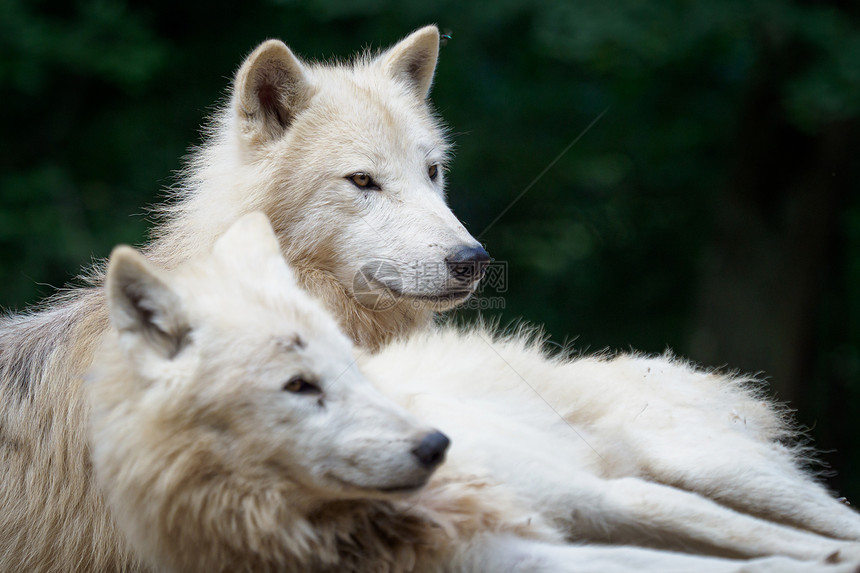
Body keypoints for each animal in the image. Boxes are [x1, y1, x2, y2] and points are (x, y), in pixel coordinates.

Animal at [87, 212, 852, 568]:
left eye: (353, 368)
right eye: (299, 386)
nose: (437, 444)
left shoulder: (609, 499)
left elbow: (794, 548)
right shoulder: (512, 555)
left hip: (721, 474)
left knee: (832, 516)